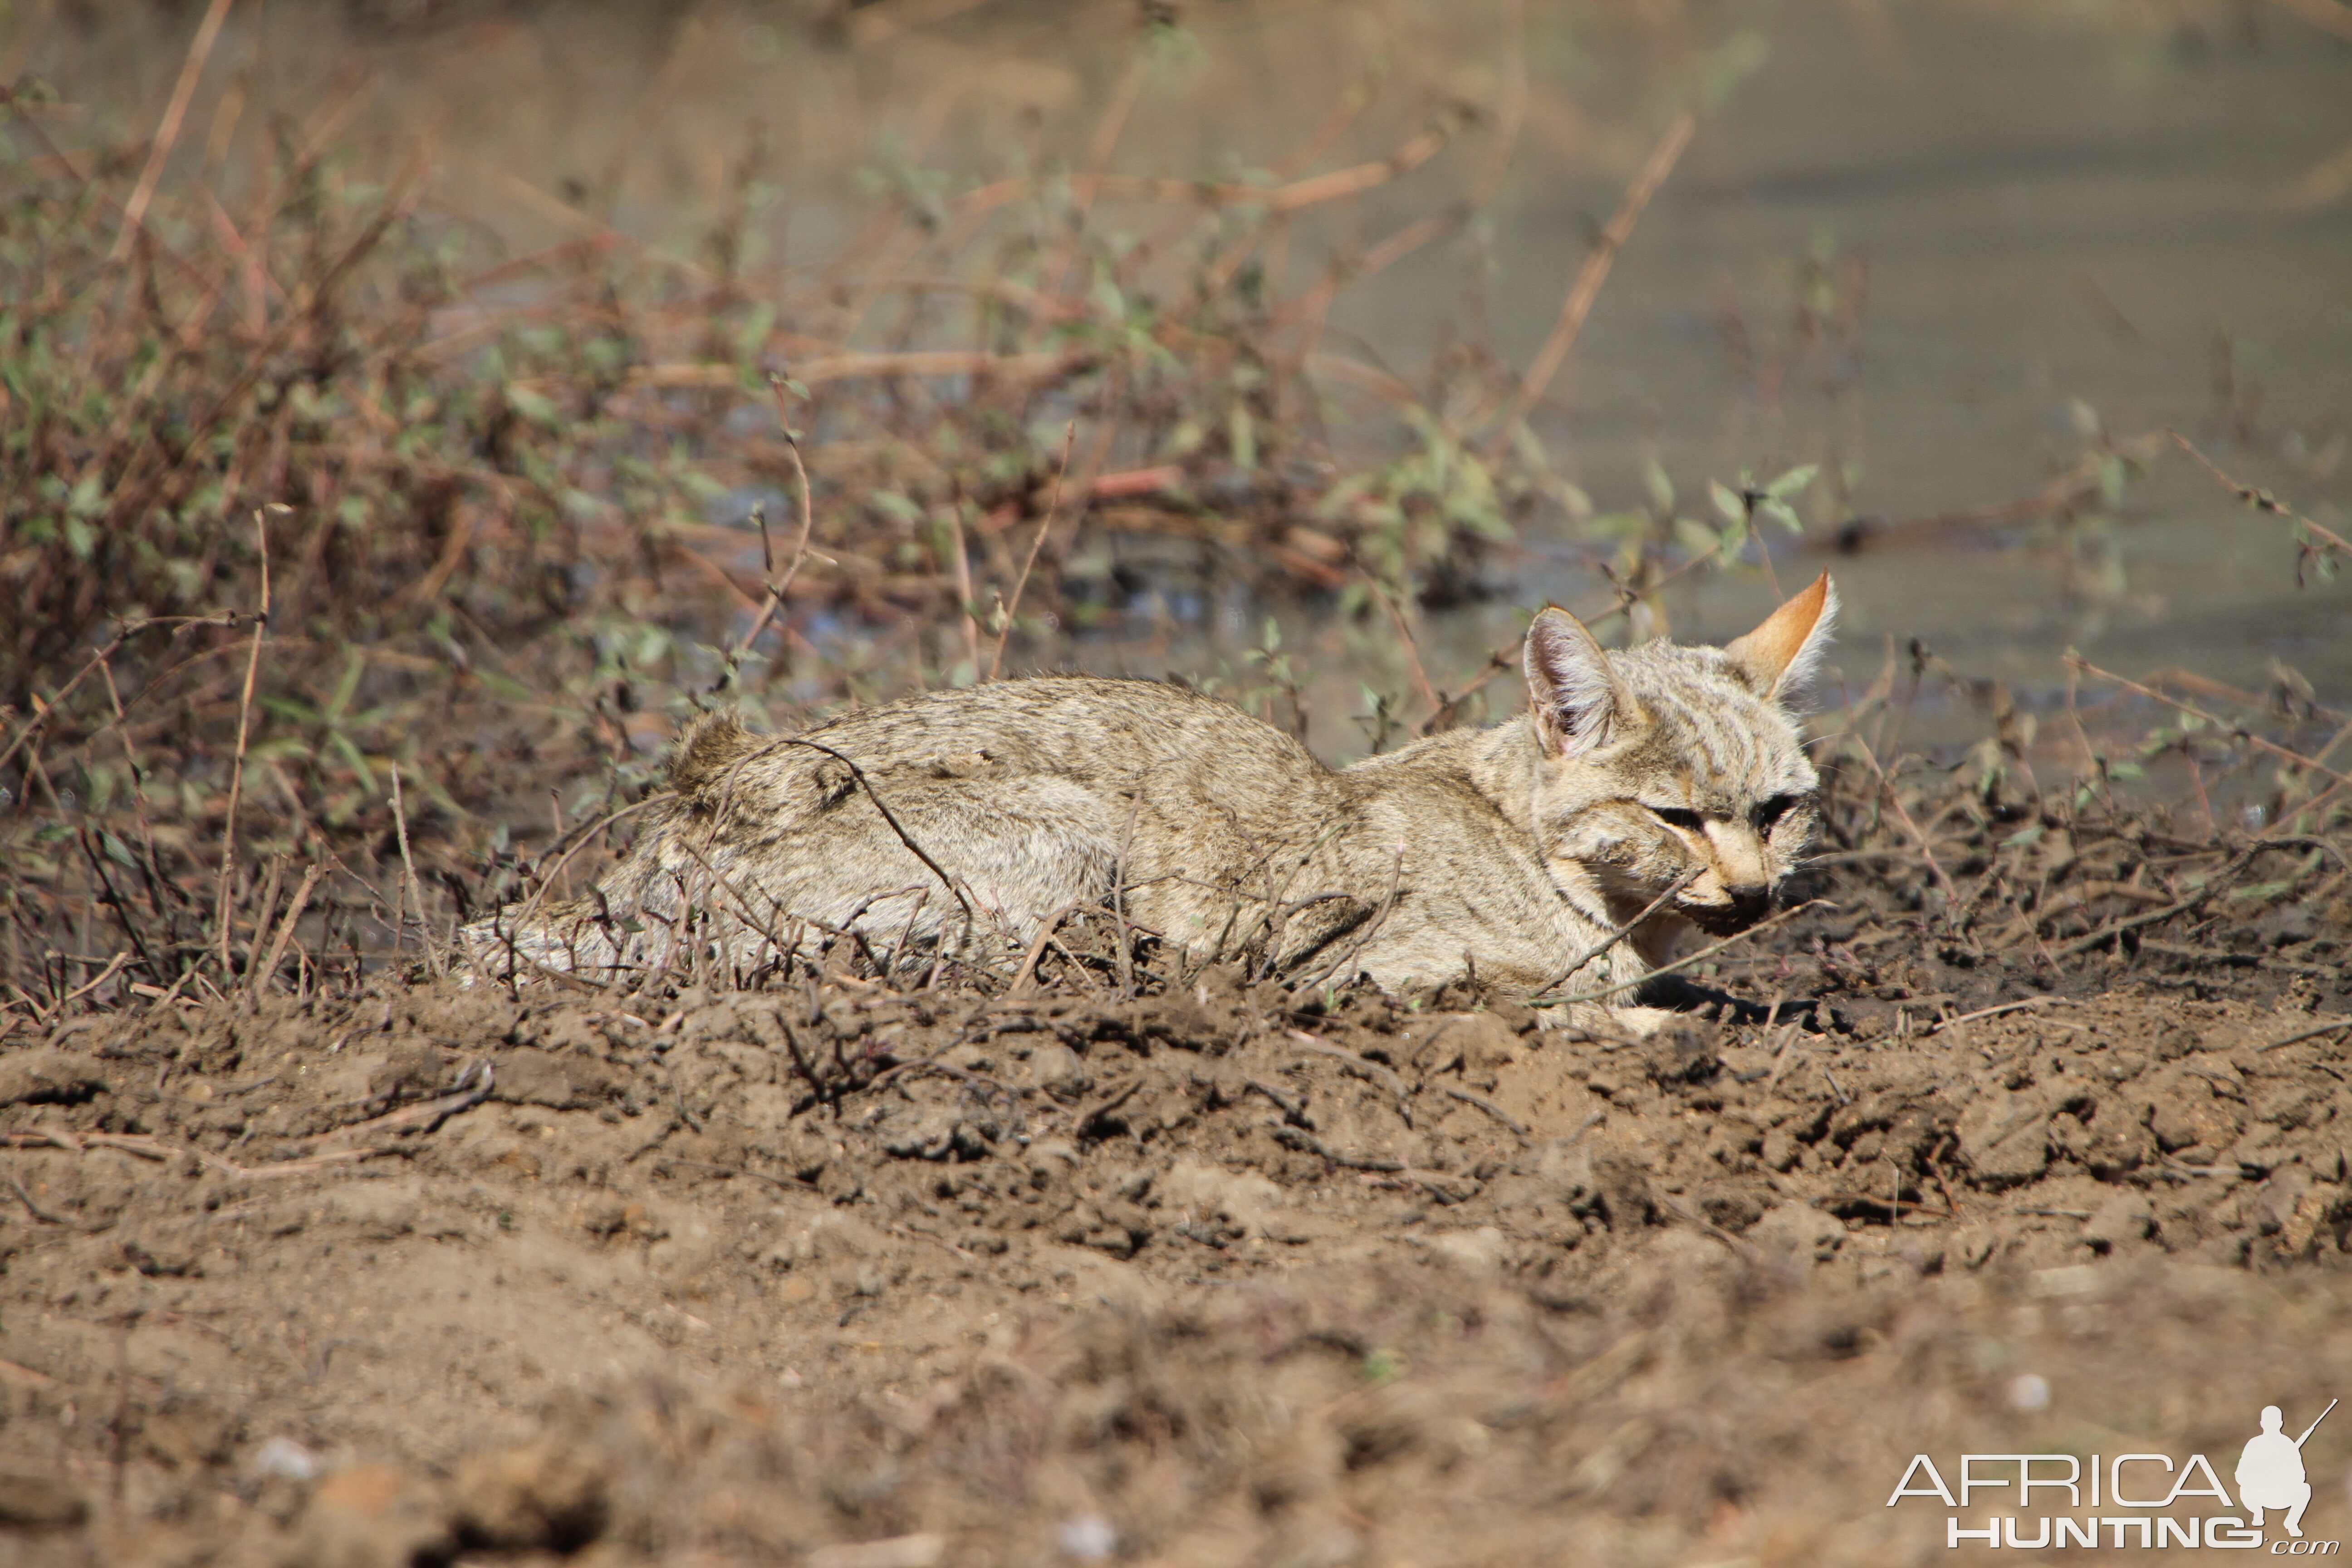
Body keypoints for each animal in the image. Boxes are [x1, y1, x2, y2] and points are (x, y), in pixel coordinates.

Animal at [468, 573, 1834, 1029]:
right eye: (1674, 818)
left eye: (1778, 809)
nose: (1755, 890)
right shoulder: (1368, 966)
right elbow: (1549, 1000)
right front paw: (1649, 1018)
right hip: (1069, 830)